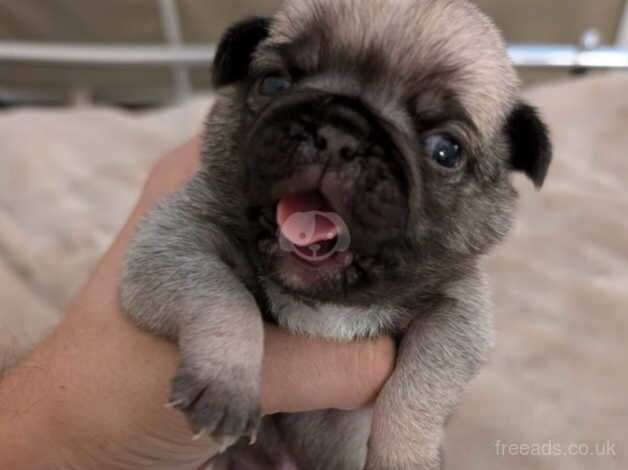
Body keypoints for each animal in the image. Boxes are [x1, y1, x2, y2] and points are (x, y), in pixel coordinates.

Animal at [118, 1, 548, 468]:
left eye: (446, 151)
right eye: (274, 83)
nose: (341, 131)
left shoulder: (458, 312)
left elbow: (419, 387)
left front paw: (404, 453)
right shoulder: (177, 240)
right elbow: (223, 297)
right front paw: (225, 379)